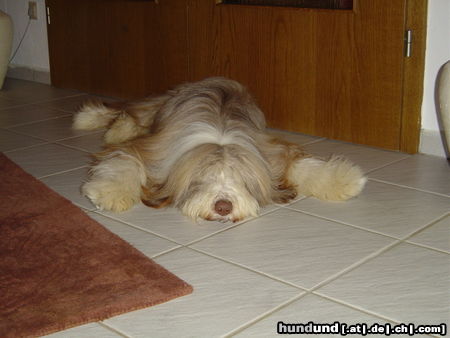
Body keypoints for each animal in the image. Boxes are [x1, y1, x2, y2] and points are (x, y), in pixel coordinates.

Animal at [74, 78, 368, 223]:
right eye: (202, 177)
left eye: (242, 178)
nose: (224, 207)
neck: (221, 130)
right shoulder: (154, 152)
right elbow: (126, 160)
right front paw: (111, 193)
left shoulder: (271, 154)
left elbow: (301, 165)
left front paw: (344, 181)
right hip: (159, 107)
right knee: (130, 110)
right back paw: (99, 122)